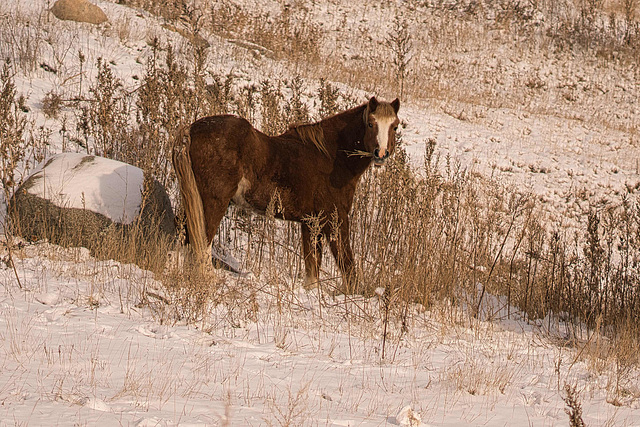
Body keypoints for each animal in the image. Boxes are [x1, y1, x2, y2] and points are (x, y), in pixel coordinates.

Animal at [172, 96, 398, 290]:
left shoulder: (311, 222)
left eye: (394, 126)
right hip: (213, 201)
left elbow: (312, 266)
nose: (381, 154)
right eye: (371, 124)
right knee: (201, 243)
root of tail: (191, 130)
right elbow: (347, 263)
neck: (332, 158)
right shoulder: (335, 219)